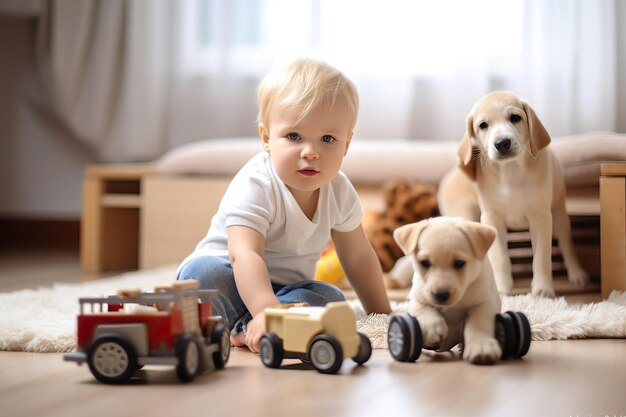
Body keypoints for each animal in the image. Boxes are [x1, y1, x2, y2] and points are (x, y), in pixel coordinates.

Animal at [392, 216, 500, 362]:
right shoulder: (417, 297)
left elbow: (478, 325)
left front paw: (481, 345)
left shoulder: (483, 303)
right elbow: (423, 308)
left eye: (459, 263)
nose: (440, 295)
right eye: (425, 263)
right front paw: (432, 327)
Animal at [436, 92, 588, 298]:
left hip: (559, 214)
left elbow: (541, 257)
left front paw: (542, 289)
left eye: (515, 118)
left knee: (567, 245)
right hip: (466, 214)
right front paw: (502, 288)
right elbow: (500, 257)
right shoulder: (492, 219)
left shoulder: (540, 217)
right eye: (483, 125)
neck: (510, 170)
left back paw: (577, 273)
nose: (502, 143)